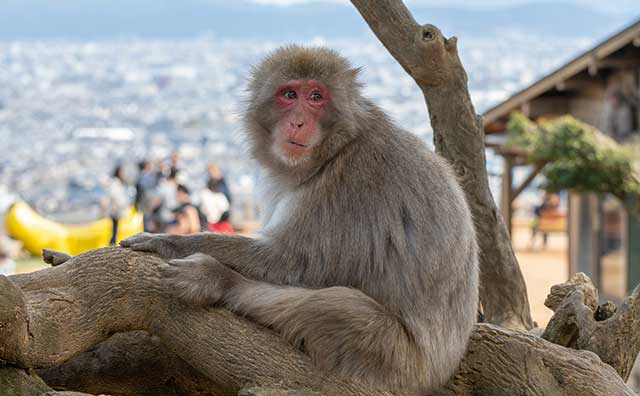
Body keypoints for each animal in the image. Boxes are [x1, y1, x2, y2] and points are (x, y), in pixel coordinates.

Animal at [121, 45, 480, 392]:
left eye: (316, 97)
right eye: (290, 94)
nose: (297, 122)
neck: (336, 149)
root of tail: (440, 373)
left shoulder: (347, 186)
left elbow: (294, 263)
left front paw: (167, 241)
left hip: (395, 360)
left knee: (332, 305)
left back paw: (219, 280)